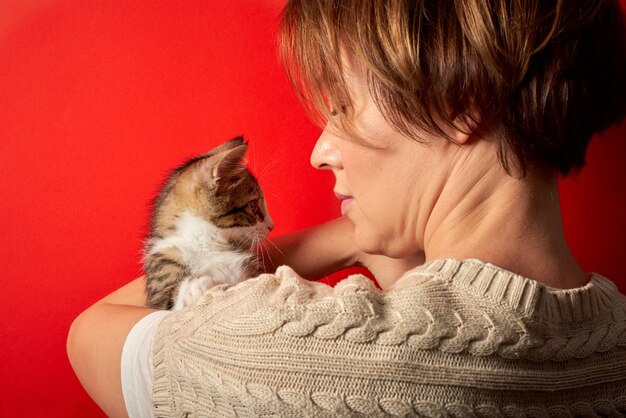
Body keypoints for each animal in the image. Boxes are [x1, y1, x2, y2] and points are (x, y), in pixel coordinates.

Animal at [145, 137, 274, 310]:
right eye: (253, 204)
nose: (271, 226)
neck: (207, 242)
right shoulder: (163, 270)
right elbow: (168, 306)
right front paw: (194, 287)